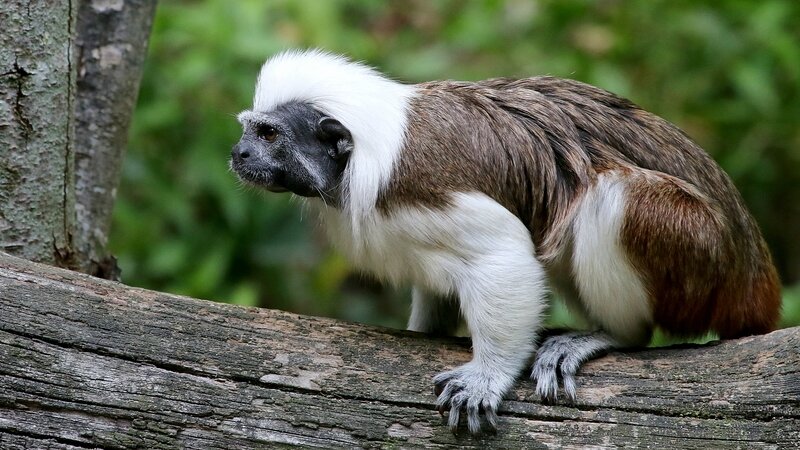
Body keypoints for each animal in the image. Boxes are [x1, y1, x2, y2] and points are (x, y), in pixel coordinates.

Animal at [231, 49, 780, 436]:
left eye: (269, 135)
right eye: (248, 132)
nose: (238, 154)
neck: (364, 154)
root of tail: (750, 266)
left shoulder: (426, 193)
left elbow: (503, 256)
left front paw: (487, 376)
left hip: (698, 251)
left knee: (616, 196)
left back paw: (611, 334)